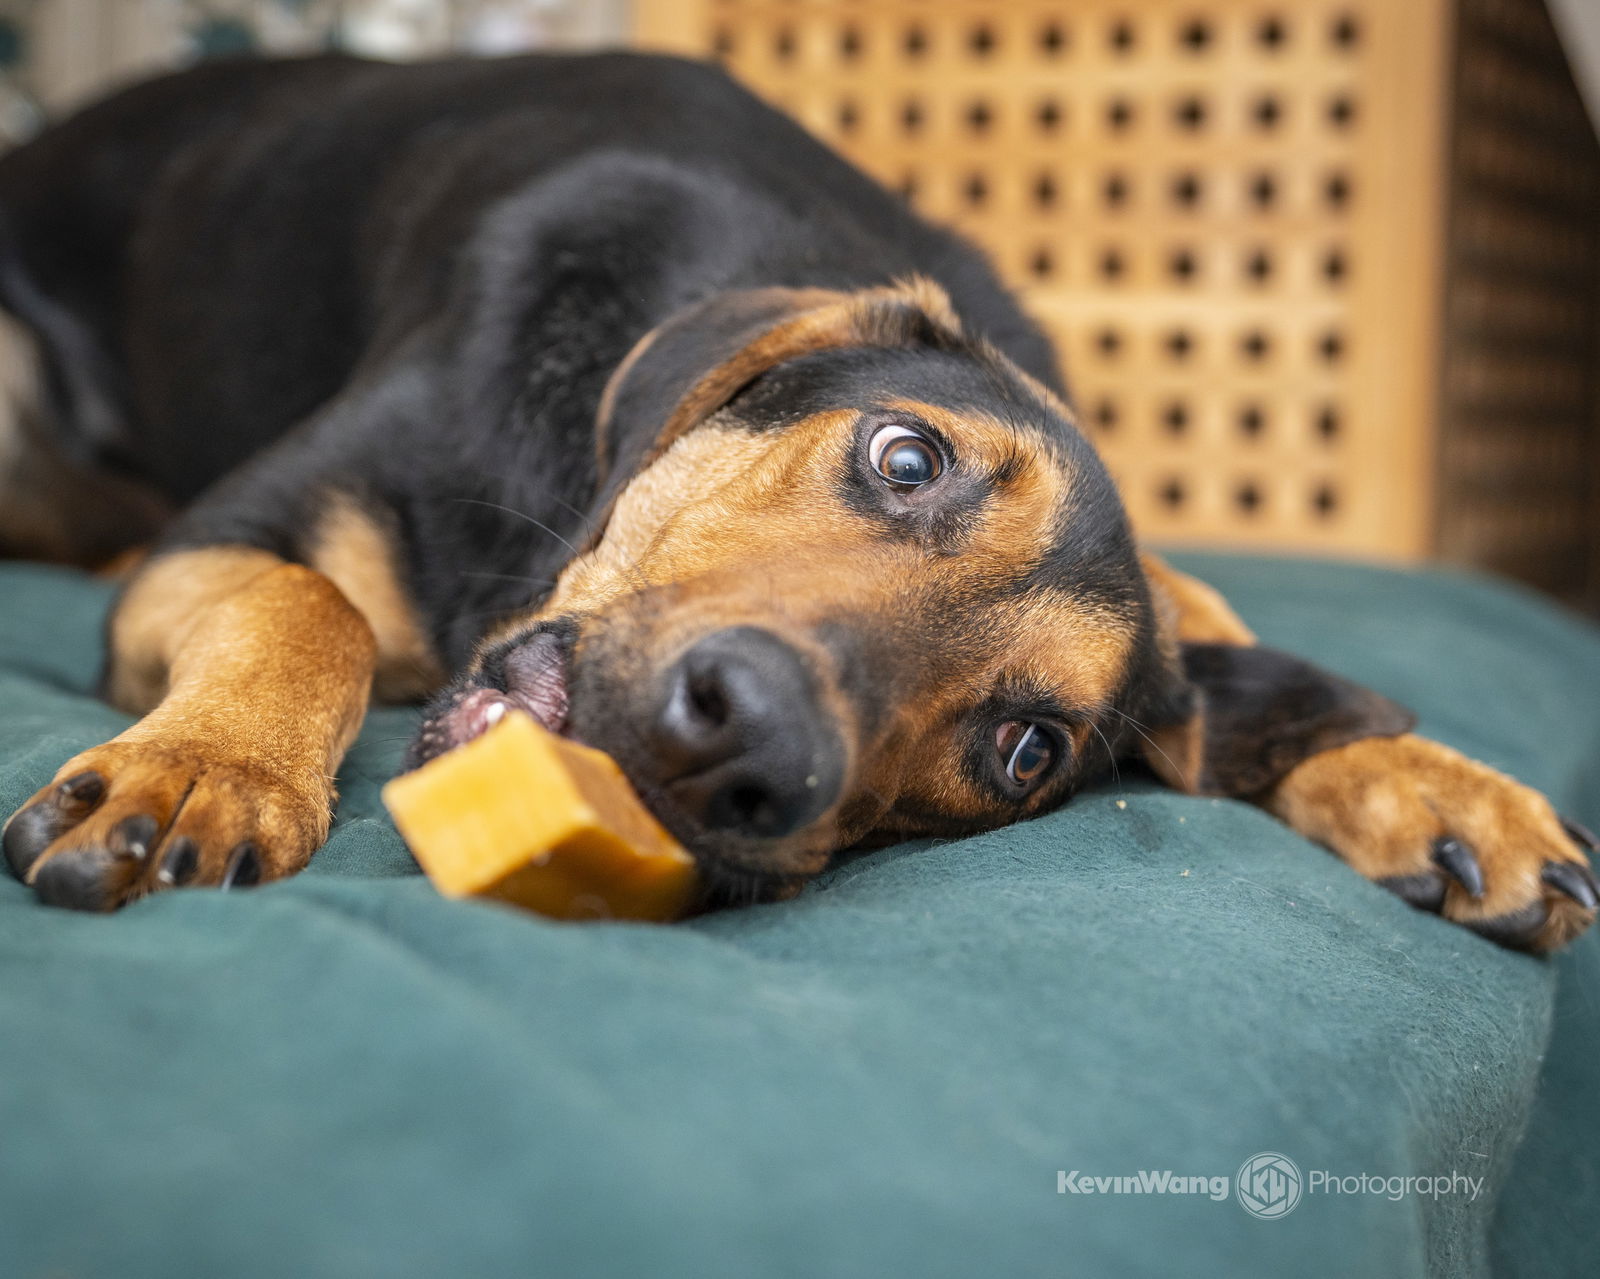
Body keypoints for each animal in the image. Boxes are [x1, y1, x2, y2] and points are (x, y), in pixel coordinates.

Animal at [3, 52, 1600, 947]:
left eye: (1025, 750)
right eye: (905, 459)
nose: (743, 747)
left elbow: (1199, 610)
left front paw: (1418, 772)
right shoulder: (229, 537)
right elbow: (308, 600)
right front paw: (207, 768)